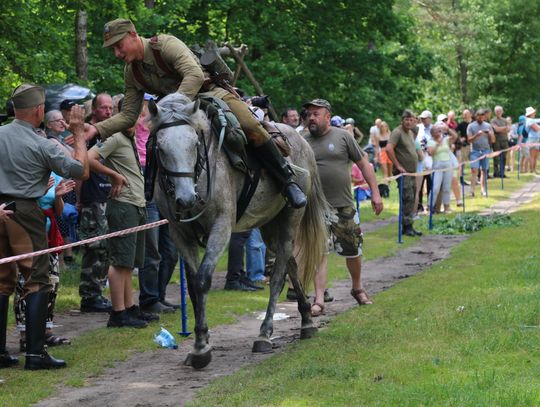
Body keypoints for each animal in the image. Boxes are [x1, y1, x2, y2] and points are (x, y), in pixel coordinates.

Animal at [148, 95, 330, 370]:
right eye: (160, 147)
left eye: (194, 143)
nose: (186, 198)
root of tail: (303, 142)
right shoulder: (180, 234)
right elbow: (193, 286)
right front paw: (201, 342)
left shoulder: (221, 227)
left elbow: (202, 280)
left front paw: (201, 349)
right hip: (269, 227)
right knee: (291, 263)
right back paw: (307, 320)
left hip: (289, 221)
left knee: (278, 276)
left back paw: (265, 334)